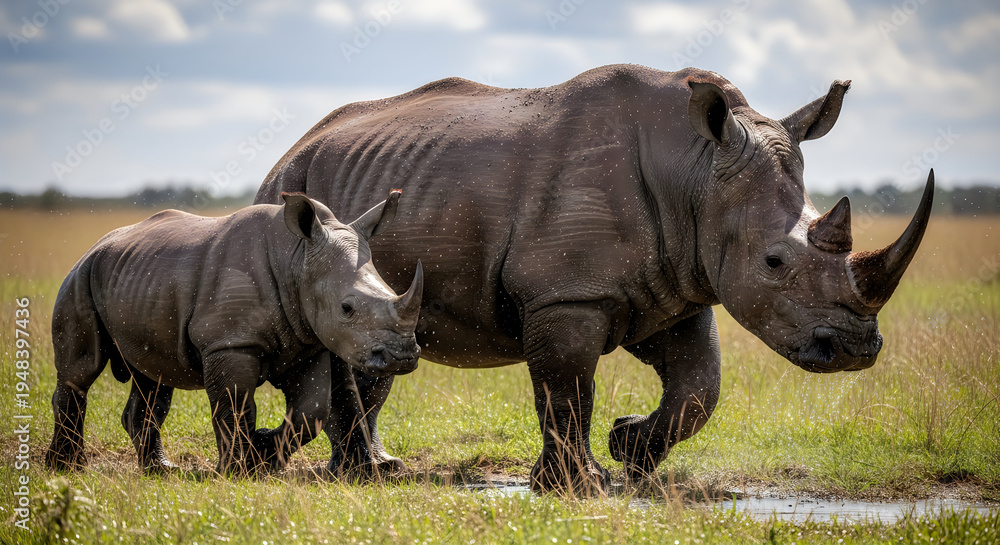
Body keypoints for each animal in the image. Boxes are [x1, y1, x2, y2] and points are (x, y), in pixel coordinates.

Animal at [46, 192, 423, 474]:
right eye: (347, 308)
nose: (402, 356)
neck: (296, 260)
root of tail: (96, 245)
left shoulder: (309, 341)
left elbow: (311, 410)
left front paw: (262, 456)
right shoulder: (228, 343)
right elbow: (235, 402)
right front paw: (238, 471)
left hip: (136, 275)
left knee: (152, 379)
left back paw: (160, 470)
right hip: (80, 277)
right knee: (81, 371)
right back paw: (66, 468)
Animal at [254, 64, 933, 491]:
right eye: (774, 262)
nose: (856, 350)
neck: (696, 171)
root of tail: (291, 150)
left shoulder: (677, 285)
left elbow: (699, 388)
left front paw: (629, 448)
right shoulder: (567, 295)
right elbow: (567, 386)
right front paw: (580, 486)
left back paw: (379, 470)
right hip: (296, 195)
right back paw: (359, 475)